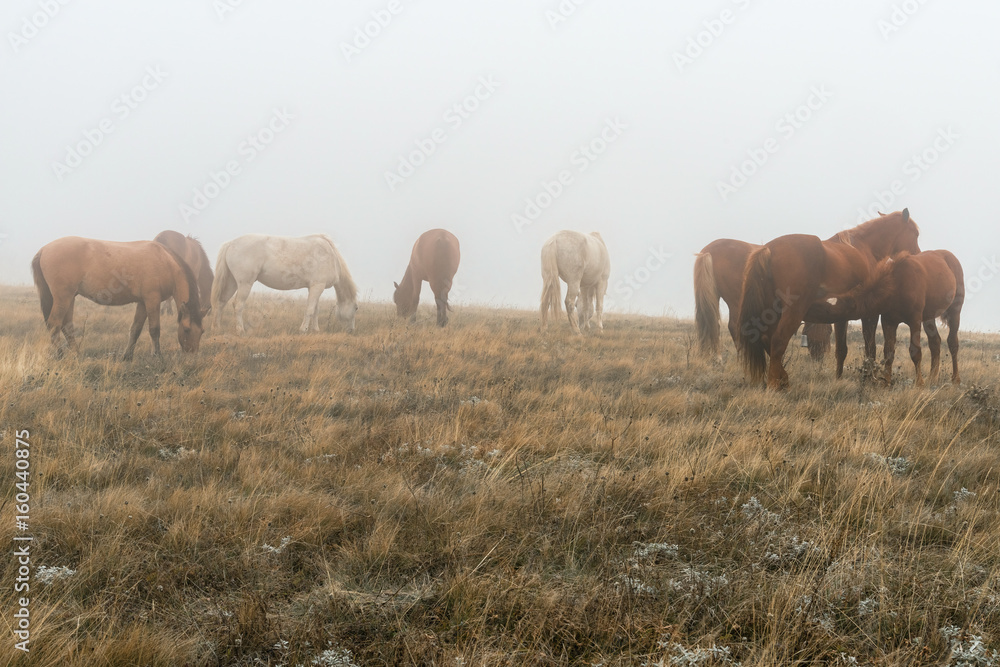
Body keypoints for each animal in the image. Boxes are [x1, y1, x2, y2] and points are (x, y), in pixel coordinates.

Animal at [30, 236, 204, 360]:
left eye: (202, 331)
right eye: (187, 329)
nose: (192, 355)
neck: (164, 261)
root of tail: (44, 249)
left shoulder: (142, 303)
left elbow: (135, 329)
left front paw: (127, 356)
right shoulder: (152, 300)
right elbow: (154, 329)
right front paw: (157, 356)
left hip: (70, 297)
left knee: (67, 326)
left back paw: (77, 354)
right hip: (63, 297)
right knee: (55, 323)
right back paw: (60, 354)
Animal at [211, 234, 358, 334]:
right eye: (356, 308)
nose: (352, 330)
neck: (330, 256)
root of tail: (231, 243)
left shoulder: (313, 287)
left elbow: (315, 310)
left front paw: (315, 330)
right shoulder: (318, 286)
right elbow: (310, 310)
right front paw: (303, 330)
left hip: (232, 282)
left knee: (221, 302)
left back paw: (217, 328)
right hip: (245, 284)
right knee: (238, 305)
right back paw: (241, 330)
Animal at [694, 238, 831, 360]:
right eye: (829, 332)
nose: (821, 358)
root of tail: (709, 251)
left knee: (710, 323)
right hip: (735, 301)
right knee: (733, 326)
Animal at [736, 209, 921, 389]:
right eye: (916, 233)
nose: (918, 256)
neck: (864, 248)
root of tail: (768, 249)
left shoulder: (841, 316)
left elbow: (841, 350)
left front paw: (838, 378)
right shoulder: (870, 315)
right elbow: (870, 349)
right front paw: (869, 379)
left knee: (767, 340)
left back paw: (783, 380)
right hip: (792, 313)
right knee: (777, 342)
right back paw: (776, 385)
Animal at [805, 250, 963, 386]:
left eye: (821, 307)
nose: (804, 311)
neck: (898, 285)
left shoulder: (915, 320)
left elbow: (915, 351)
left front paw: (919, 383)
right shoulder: (889, 321)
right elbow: (889, 351)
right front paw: (886, 382)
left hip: (955, 311)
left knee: (952, 342)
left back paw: (955, 378)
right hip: (929, 317)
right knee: (935, 342)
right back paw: (932, 377)